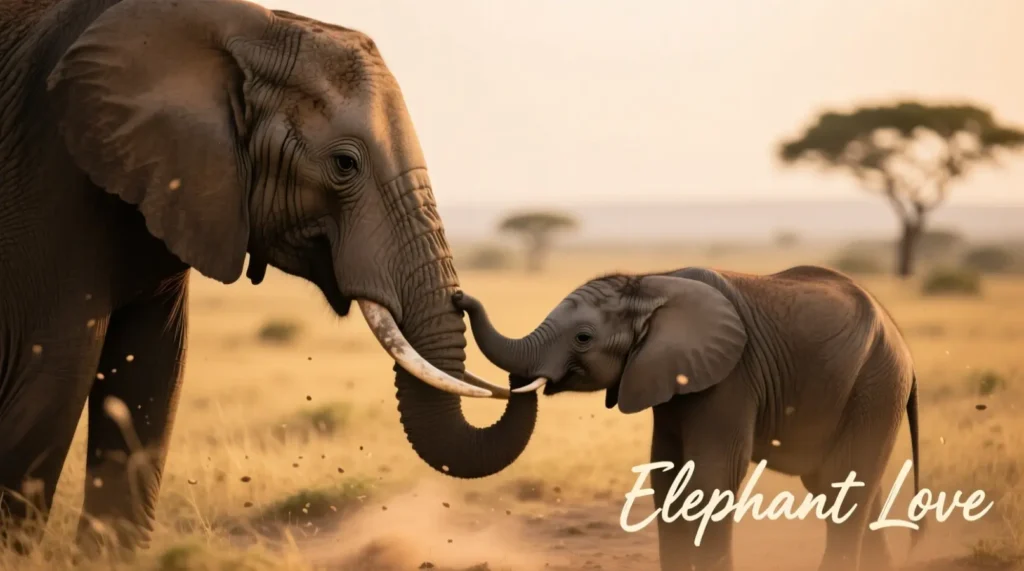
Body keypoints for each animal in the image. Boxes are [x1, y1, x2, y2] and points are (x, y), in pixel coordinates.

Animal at [0, 0, 537, 554]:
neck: (244, 26)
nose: (467, 303)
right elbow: (53, 383)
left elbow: (150, 379)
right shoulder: (51, 184)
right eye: (345, 164)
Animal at [454, 265, 923, 571]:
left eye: (583, 338)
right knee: (845, 487)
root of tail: (901, 338)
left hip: (877, 383)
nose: (459, 297)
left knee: (847, 485)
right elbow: (667, 477)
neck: (650, 282)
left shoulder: (731, 377)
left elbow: (713, 477)